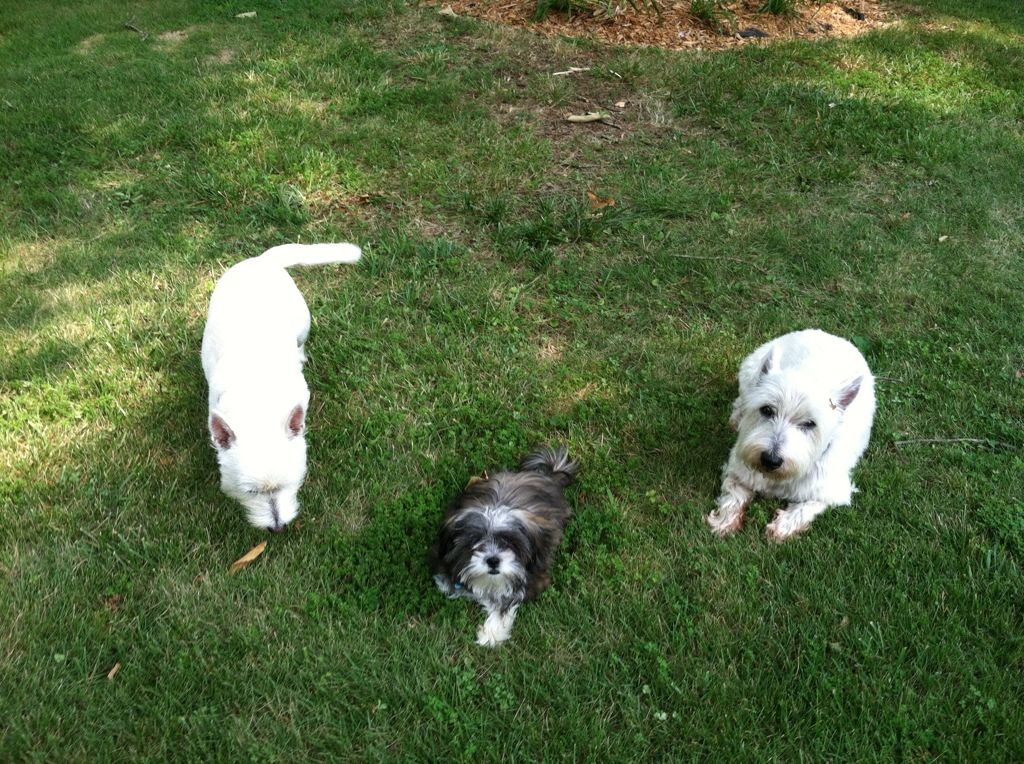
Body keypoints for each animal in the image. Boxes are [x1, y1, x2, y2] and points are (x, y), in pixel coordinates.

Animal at [199, 242, 360, 528]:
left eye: (290, 483)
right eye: (250, 492)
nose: (278, 528)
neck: (257, 400)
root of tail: (262, 260)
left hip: (303, 323)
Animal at [428, 444, 581, 647]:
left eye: (510, 543)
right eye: (476, 542)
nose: (493, 560)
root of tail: (546, 475)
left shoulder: (533, 575)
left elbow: (509, 598)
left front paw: (491, 631)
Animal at [708, 329, 876, 540]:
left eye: (809, 423)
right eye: (767, 410)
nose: (770, 460)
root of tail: (829, 335)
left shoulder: (830, 491)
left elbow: (806, 508)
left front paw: (782, 527)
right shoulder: (738, 468)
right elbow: (733, 492)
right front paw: (724, 521)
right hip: (749, 372)